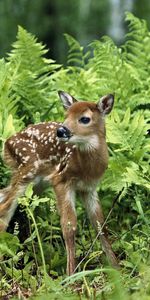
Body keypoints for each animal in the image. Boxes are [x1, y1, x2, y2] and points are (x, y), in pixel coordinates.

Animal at [0, 91, 118, 274]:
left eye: (85, 119)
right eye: (66, 115)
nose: (61, 130)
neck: (86, 169)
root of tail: (7, 143)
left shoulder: (90, 188)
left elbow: (100, 225)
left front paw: (117, 269)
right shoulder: (61, 180)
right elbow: (69, 226)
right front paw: (71, 275)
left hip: (36, 183)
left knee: (3, 195)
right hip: (27, 171)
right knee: (5, 208)